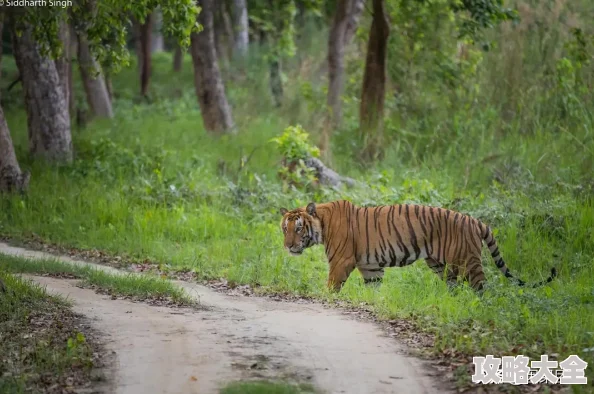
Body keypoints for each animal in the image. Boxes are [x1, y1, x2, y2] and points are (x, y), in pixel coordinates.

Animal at [278, 200, 556, 292]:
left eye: (298, 228)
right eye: (285, 229)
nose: (288, 246)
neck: (322, 224)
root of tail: (476, 221)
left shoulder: (341, 262)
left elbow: (331, 287)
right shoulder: (371, 268)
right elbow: (373, 289)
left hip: (468, 262)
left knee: (482, 288)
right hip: (441, 266)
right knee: (457, 288)